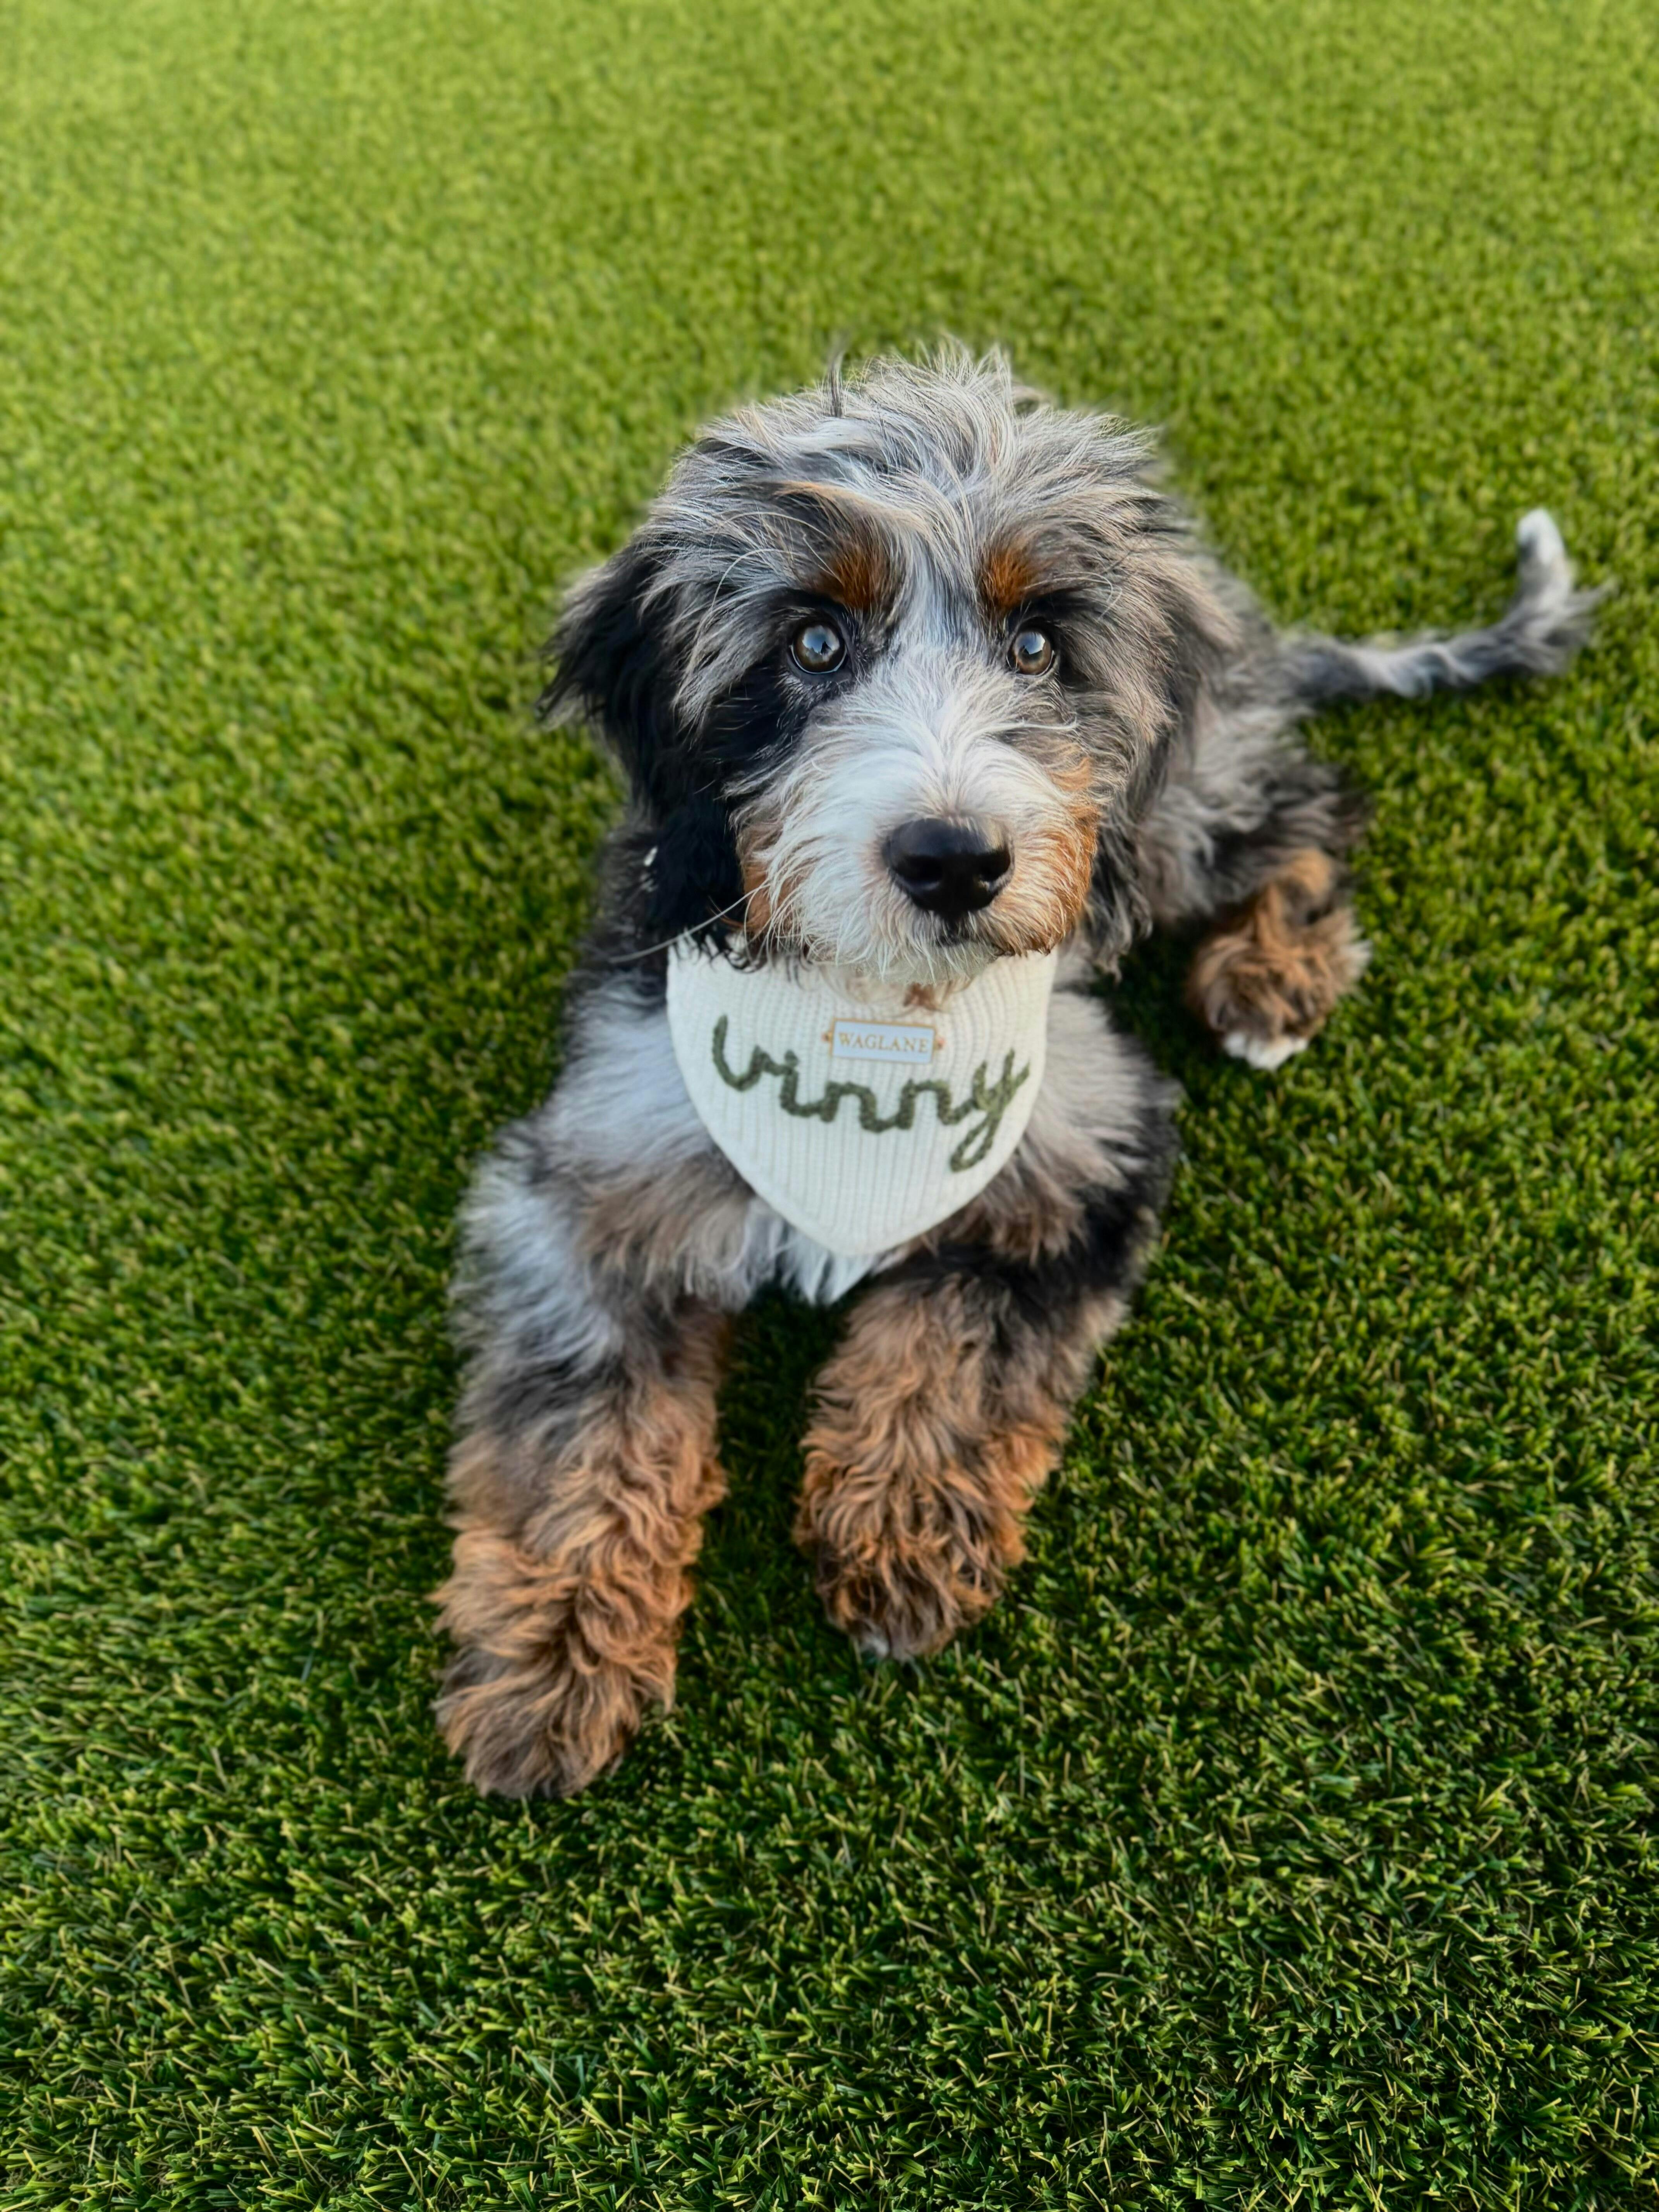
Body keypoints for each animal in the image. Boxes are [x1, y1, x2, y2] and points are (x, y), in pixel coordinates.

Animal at [434, 348, 1600, 1797]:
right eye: (812, 644)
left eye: (1037, 645)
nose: (953, 861)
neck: (878, 1026)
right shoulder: (587, 1176)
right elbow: (577, 1430)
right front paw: (549, 1664)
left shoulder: (1086, 1140)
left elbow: (959, 1349)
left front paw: (901, 1538)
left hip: (1166, 815)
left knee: (1307, 805)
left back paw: (1272, 972)